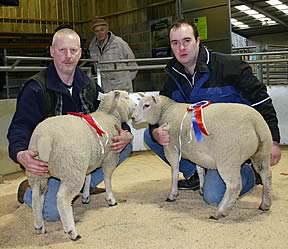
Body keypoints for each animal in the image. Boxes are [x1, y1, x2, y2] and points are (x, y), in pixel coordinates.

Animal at [27, 90, 136, 240]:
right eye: (126, 97)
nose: (136, 105)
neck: (109, 115)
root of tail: (44, 137)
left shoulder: (88, 160)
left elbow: (88, 176)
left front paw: (85, 196)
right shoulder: (110, 157)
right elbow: (107, 177)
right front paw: (110, 199)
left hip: (38, 172)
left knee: (36, 197)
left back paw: (39, 226)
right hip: (71, 170)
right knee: (62, 200)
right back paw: (72, 231)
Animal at [132, 95, 274, 220]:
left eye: (146, 105)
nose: (133, 118)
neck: (166, 110)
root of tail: (255, 123)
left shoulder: (171, 147)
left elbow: (174, 171)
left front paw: (172, 194)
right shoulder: (196, 152)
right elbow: (200, 170)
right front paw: (201, 187)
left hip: (228, 158)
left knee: (234, 185)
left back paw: (220, 212)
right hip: (263, 152)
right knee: (266, 175)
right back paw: (265, 204)